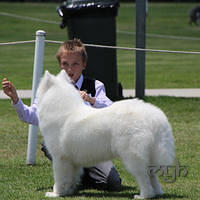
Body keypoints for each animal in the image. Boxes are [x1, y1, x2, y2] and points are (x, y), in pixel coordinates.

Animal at [36, 70, 174, 198]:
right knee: (152, 176)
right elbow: (71, 179)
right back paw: (157, 192)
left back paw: (143, 195)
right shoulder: (72, 162)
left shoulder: (60, 158)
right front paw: (68, 192)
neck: (61, 109)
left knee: (144, 178)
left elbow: (60, 178)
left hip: (133, 157)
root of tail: (155, 117)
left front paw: (56, 193)